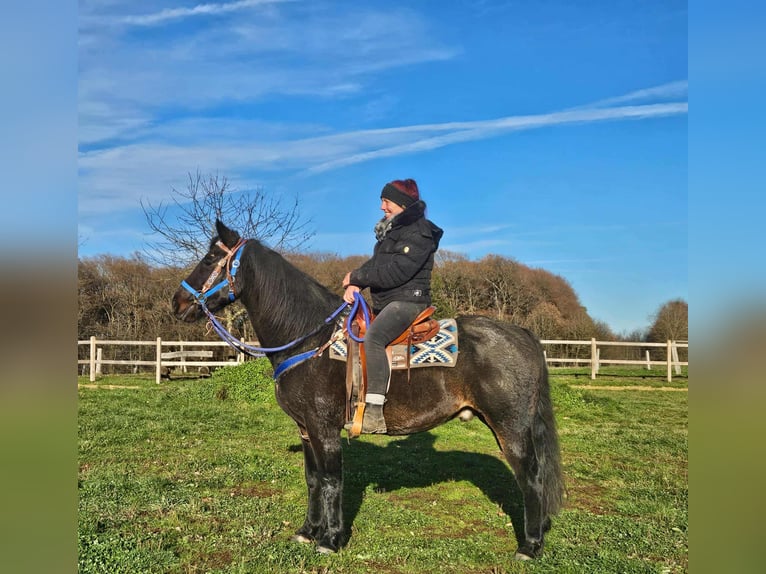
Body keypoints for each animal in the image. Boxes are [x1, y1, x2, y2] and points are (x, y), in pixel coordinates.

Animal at [172, 219, 564, 560]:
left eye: (209, 258)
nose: (177, 302)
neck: (309, 339)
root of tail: (524, 335)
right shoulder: (305, 429)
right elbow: (312, 480)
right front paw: (307, 531)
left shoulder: (324, 429)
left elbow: (331, 481)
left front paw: (330, 540)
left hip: (510, 427)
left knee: (532, 477)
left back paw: (529, 546)